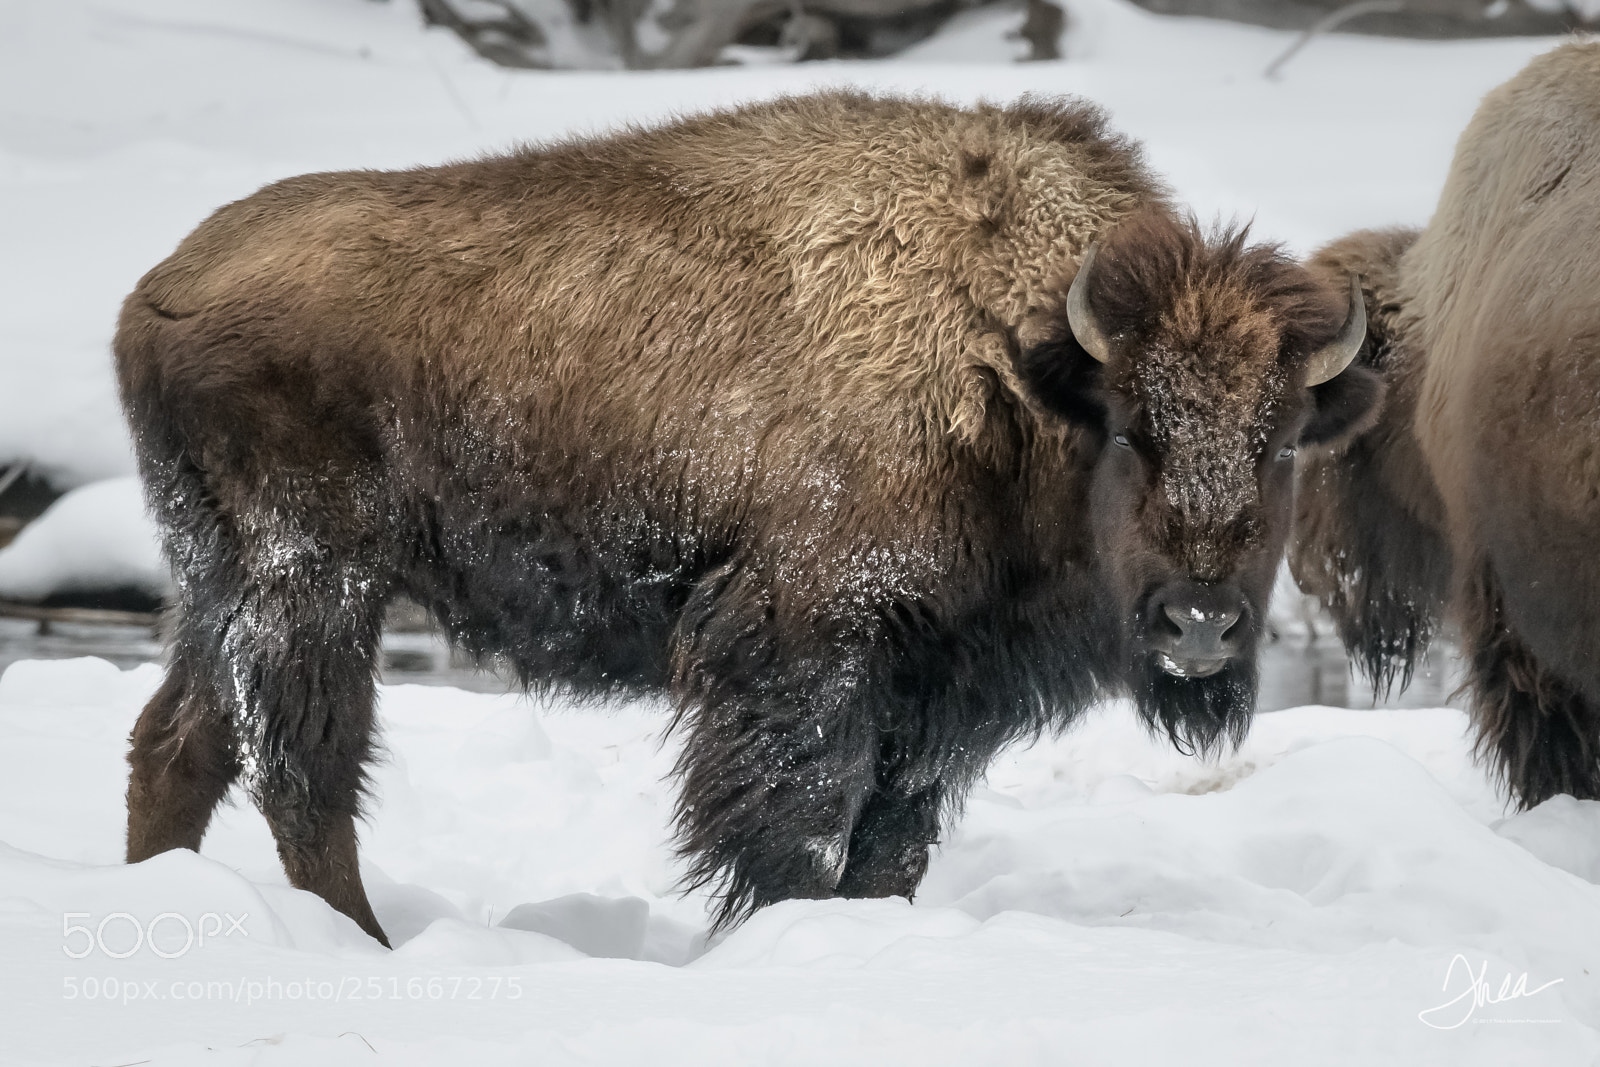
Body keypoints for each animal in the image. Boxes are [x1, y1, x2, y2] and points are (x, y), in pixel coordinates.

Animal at [116, 93, 1372, 945]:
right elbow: (800, 830)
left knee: (179, 745)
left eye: (1279, 440)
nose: (1200, 623)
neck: (1009, 369)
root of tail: (160, 286)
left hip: (219, 577)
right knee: (306, 770)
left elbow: (889, 845)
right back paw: (364, 946)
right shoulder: (807, 646)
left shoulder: (941, 691)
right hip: (315, 578)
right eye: (1129, 427)